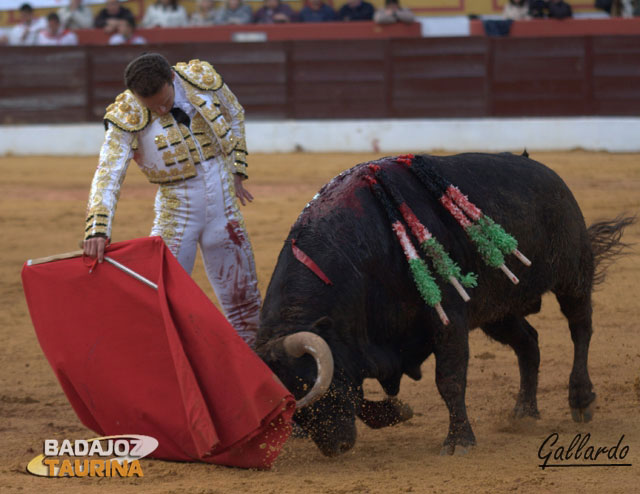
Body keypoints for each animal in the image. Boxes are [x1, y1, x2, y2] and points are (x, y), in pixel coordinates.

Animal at [254, 152, 632, 458]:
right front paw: (399, 413)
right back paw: (524, 412)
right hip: (497, 310)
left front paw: (459, 441)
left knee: (580, 329)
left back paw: (581, 399)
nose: (337, 446)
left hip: (572, 274)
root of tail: (548, 173)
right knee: (529, 344)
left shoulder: (448, 317)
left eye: (312, 385)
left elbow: (449, 380)